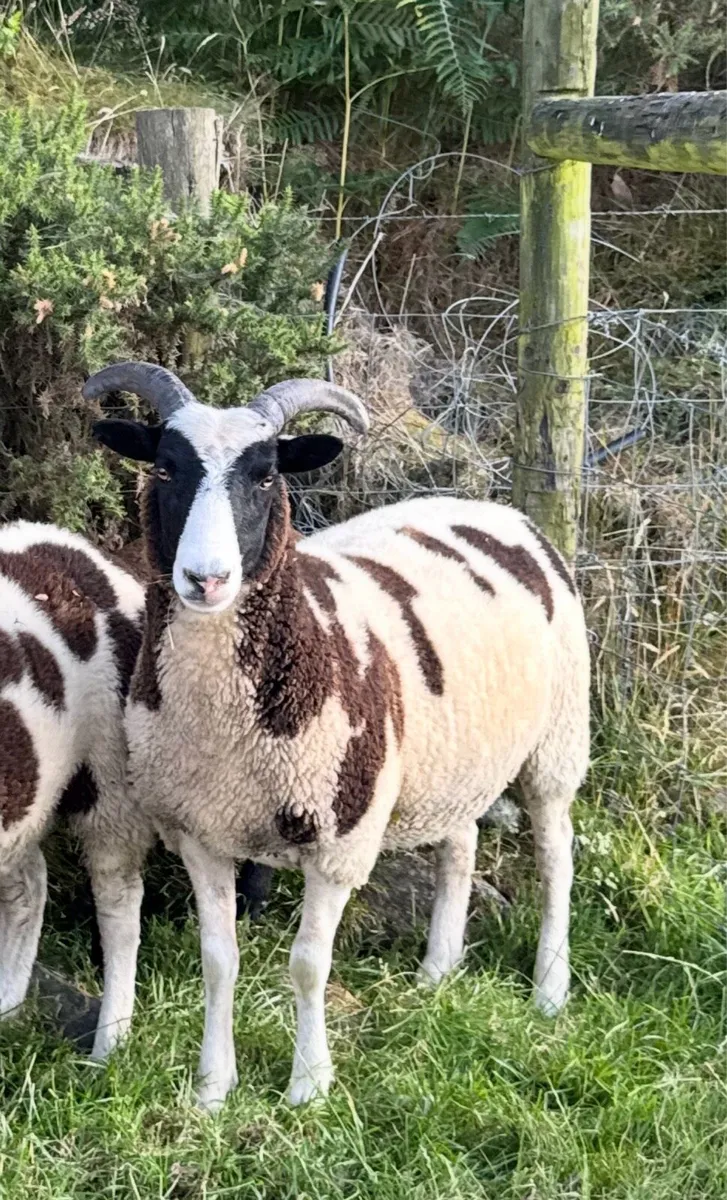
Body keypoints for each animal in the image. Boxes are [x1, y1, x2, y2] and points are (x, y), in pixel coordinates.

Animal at [0, 520, 153, 1058]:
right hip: (31, 792)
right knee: (30, 885)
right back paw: (7, 1005)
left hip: (110, 779)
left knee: (120, 905)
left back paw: (112, 1044)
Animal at [89, 361, 591, 1110]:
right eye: (167, 466)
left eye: (266, 474)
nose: (206, 579)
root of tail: (504, 512)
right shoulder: (198, 831)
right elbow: (218, 961)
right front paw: (212, 1088)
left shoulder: (339, 837)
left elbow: (306, 965)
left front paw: (308, 1086)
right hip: (452, 751)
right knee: (461, 843)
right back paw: (437, 970)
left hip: (557, 737)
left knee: (556, 856)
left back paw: (549, 990)